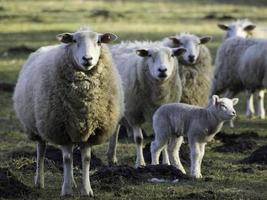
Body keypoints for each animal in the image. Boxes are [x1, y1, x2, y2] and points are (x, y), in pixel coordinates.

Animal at [13, 27, 123, 197]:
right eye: (74, 41)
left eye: (98, 42)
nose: (87, 59)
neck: (83, 102)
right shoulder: (61, 129)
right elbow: (66, 159)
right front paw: (66, 190)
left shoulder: (90, 131)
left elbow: (86, 159)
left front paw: (86, 190)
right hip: (39, 126)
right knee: (41, 152)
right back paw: (40, 181)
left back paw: (72, 181)